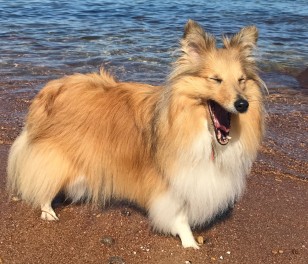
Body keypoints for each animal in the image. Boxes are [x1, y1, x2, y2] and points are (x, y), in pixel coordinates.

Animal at [6, 20, 264, 248]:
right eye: (216, 79)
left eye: (241, 80)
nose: (242, 104)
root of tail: (51, 89)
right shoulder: (171, 178)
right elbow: (180, 215)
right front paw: (189, 242)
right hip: (58, 156)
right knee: (45, 179)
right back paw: (48, 211)